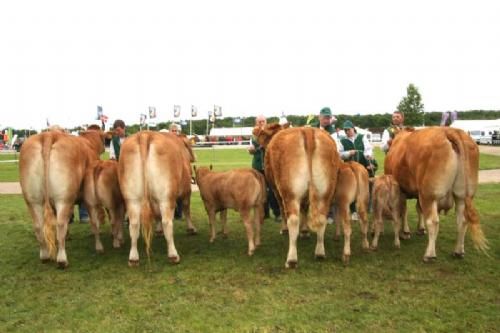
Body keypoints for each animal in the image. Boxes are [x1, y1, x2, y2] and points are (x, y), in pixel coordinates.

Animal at [19, 126, 105, 266]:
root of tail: (49, 135)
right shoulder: (88, 198)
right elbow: (94, 222)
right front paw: (99, 246)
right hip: (64, 199)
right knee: (60, 224)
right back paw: (62, 260)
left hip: (32, 199)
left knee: (39, 226)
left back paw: (45, 256)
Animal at [118, 130, 194, 264]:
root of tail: (145, 134)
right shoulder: (186, 191)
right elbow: (186, 208)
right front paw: (191, 229)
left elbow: (157, 215)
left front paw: (158, 231)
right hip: (166, 197)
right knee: (167, 222)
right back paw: (173, 255)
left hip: (131, 198)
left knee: (134, 224)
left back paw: (133, 258)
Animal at [254, 124, 340, 268]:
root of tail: (307, 130)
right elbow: (305, 208)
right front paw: (305, 231)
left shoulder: (277, 191)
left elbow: (282, 210)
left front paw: (284, 230)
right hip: (325, 192)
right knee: (321, 218)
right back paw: (320, 253)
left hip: (290, 193)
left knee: (293, 220)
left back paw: (291, 259)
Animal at [386, 126, 488, 260]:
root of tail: (450, 131)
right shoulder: (418, 192)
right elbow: (418, 209)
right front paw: (420, 229)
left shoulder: (402, 190)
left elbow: (404, 210)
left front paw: (405, 232)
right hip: (463, 195)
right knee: (462, 220)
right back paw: (458, 251)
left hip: (429, 194)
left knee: (433, 221)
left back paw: (429, 254)